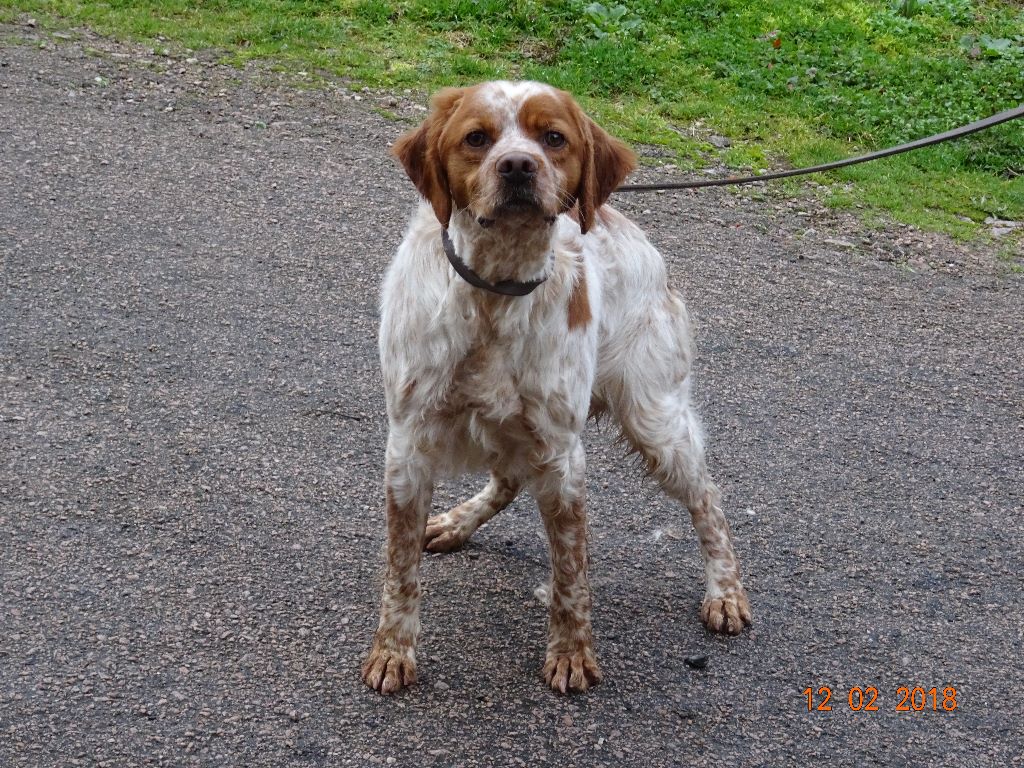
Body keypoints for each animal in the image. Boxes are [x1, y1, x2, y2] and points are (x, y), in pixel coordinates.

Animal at [362, 81, 753, 696]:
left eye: (553, 138)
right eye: (477, 138)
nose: (519, 166)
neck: (494, 292)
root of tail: (632, 229)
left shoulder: (562, 454)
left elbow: (571, 574)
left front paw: (571, 654)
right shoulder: (408, 444)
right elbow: (400, 570)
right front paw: (392, 651)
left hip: (656, 421)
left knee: (707, 502)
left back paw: (726, 592)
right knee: (506, 479)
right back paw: (455, 522)